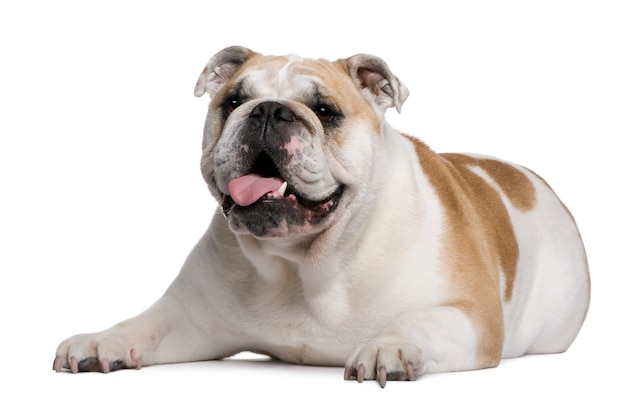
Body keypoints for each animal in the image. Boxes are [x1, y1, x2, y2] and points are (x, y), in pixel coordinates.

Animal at [53, 45, 588, 386]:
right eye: (232, 101)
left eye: (325, 111)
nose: (267, 110)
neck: (302, 263)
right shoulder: (189, 318)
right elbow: (141, 324)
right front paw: (101, 341)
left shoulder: (471, 318)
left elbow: (417, 325)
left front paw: (388, 347)